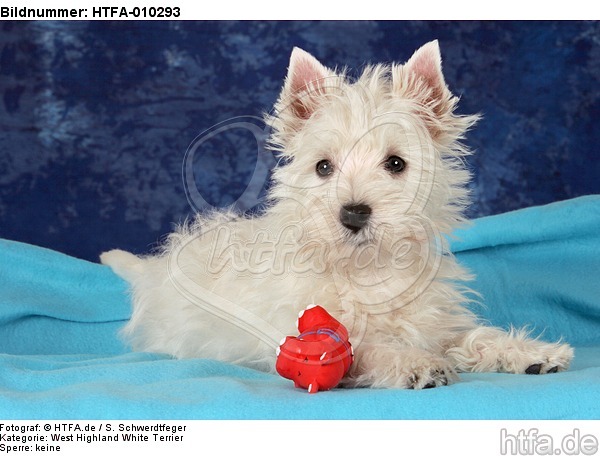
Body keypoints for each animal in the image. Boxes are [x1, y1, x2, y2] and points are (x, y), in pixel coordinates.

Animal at [101, 41, 576, 388]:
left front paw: (532, 354)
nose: (353, 214)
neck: (369, 270)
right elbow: (366, 349)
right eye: (324, 167)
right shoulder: (303, 333)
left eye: (396, 163)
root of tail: (154, 272)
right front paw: (414, 363)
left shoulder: (436, 322)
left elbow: (475, 336)